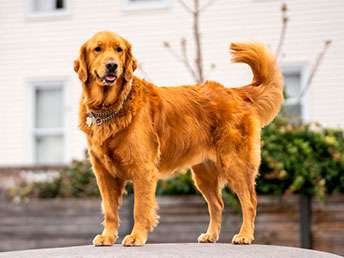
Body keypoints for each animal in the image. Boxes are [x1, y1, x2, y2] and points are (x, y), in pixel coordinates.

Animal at [72, 31, 282, 246]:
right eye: (97, 49)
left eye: (118, 49)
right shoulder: (103, 173)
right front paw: (107, 236)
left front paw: (137, 236)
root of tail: (235, 92)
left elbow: (140, 208)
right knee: (217, 204)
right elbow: (109, 210)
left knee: (249, 202)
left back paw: (245, 235)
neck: (111, 108)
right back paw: (211, 235)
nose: (112, 65)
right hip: (203, 173)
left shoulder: (143, 169)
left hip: (234, 163)